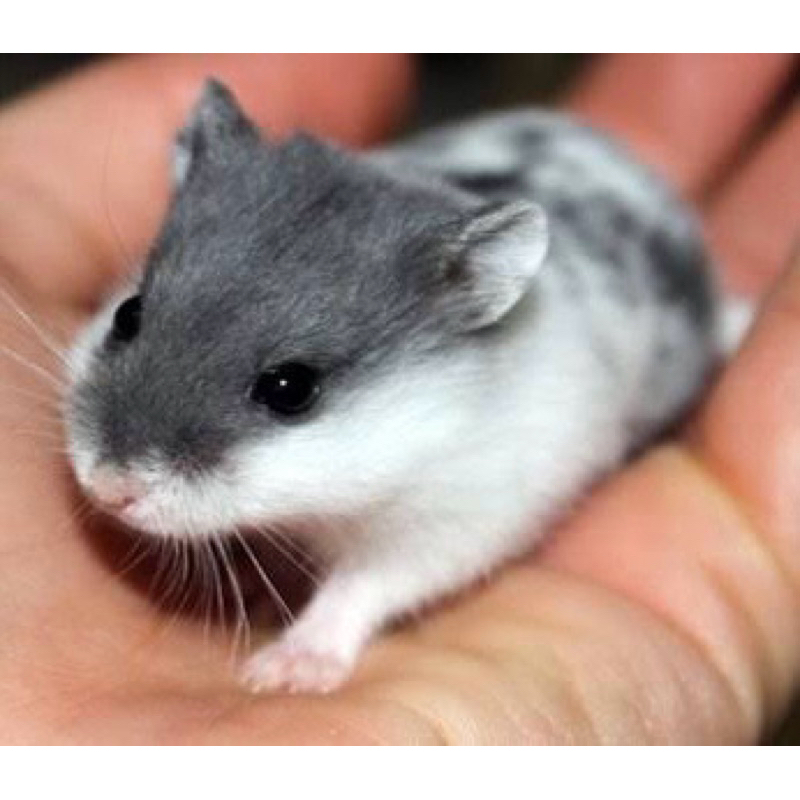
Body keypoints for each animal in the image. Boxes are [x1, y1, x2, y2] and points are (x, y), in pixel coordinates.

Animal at [64, 79, 724, 693]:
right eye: (127, 314)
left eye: (289, 388)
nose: (108, 490)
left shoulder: (450, 526)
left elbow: (359, 589)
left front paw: (281, 672)